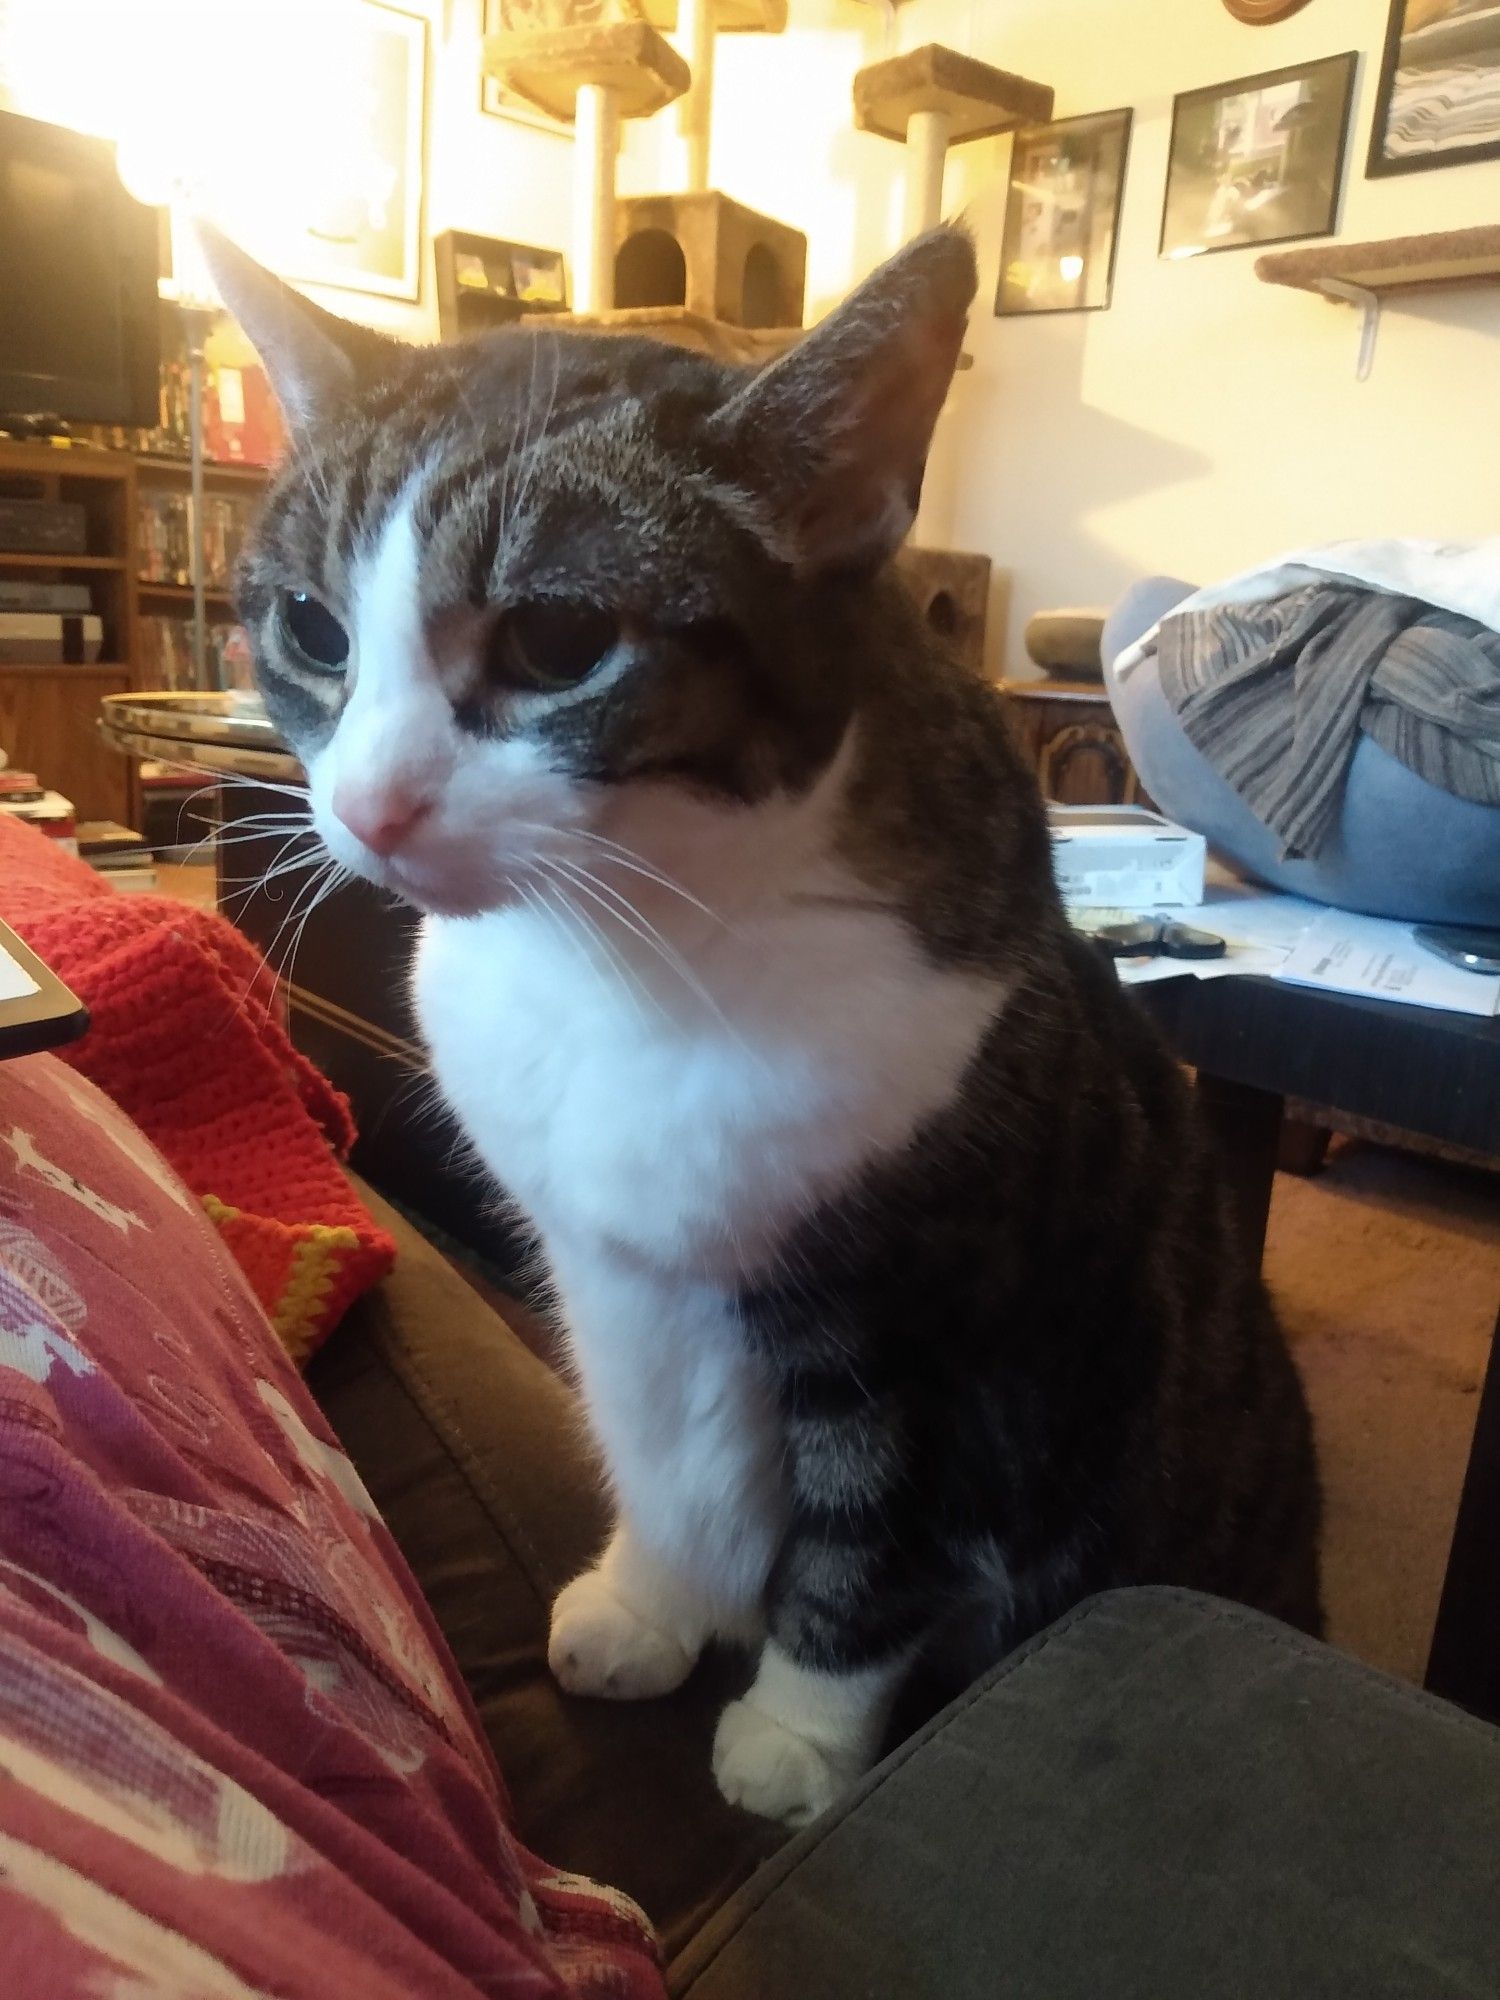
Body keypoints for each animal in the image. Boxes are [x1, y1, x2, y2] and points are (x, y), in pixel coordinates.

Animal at [206, 219, 1320, 1832]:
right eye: (310, 627)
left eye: (559, 639)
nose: (368, 809)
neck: (626, 958)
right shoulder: (611, 1276)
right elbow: (663, 1453)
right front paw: (655, 1605)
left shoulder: (925, 1321)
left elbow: (870, 1537)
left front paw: (799, 1731)